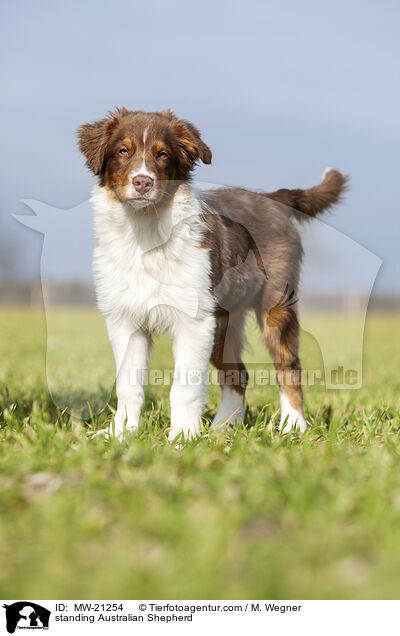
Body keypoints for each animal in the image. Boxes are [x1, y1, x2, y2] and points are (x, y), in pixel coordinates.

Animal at [78, 107, 346, 440]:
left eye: (163, 154)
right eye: (122, 151)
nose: (142, 182)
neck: (145, 230)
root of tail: (272, 199)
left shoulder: (193, 322)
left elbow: (184, 386)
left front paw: (182, 436)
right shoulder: (126, 320)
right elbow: (128, 385)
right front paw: (120, 433)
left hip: (274, 306)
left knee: (288, 365)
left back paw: (292, 426)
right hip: (222, 321)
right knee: (237, 373)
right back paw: (223, 428)